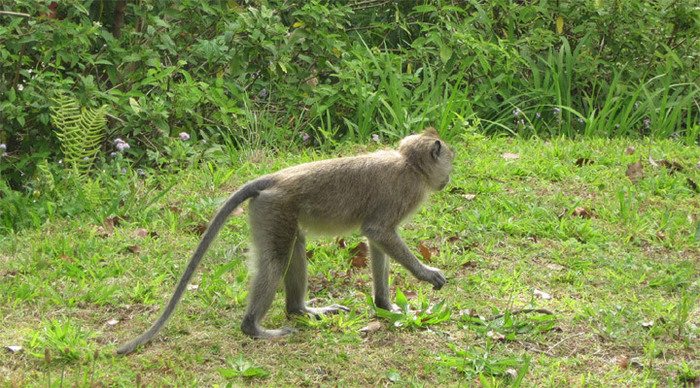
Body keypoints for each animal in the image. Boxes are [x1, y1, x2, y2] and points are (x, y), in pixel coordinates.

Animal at [116, 127, 454, 354]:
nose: (448, 177)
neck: (410, 165)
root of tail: (276, 178)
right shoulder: (404, 193)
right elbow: (379, 232)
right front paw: (427, 274)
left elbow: (376, 240)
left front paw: (385, 304)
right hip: (274, 208)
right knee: (277, 259)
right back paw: (254, 328)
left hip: (271, 210)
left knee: (295, 245)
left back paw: (299, 310)